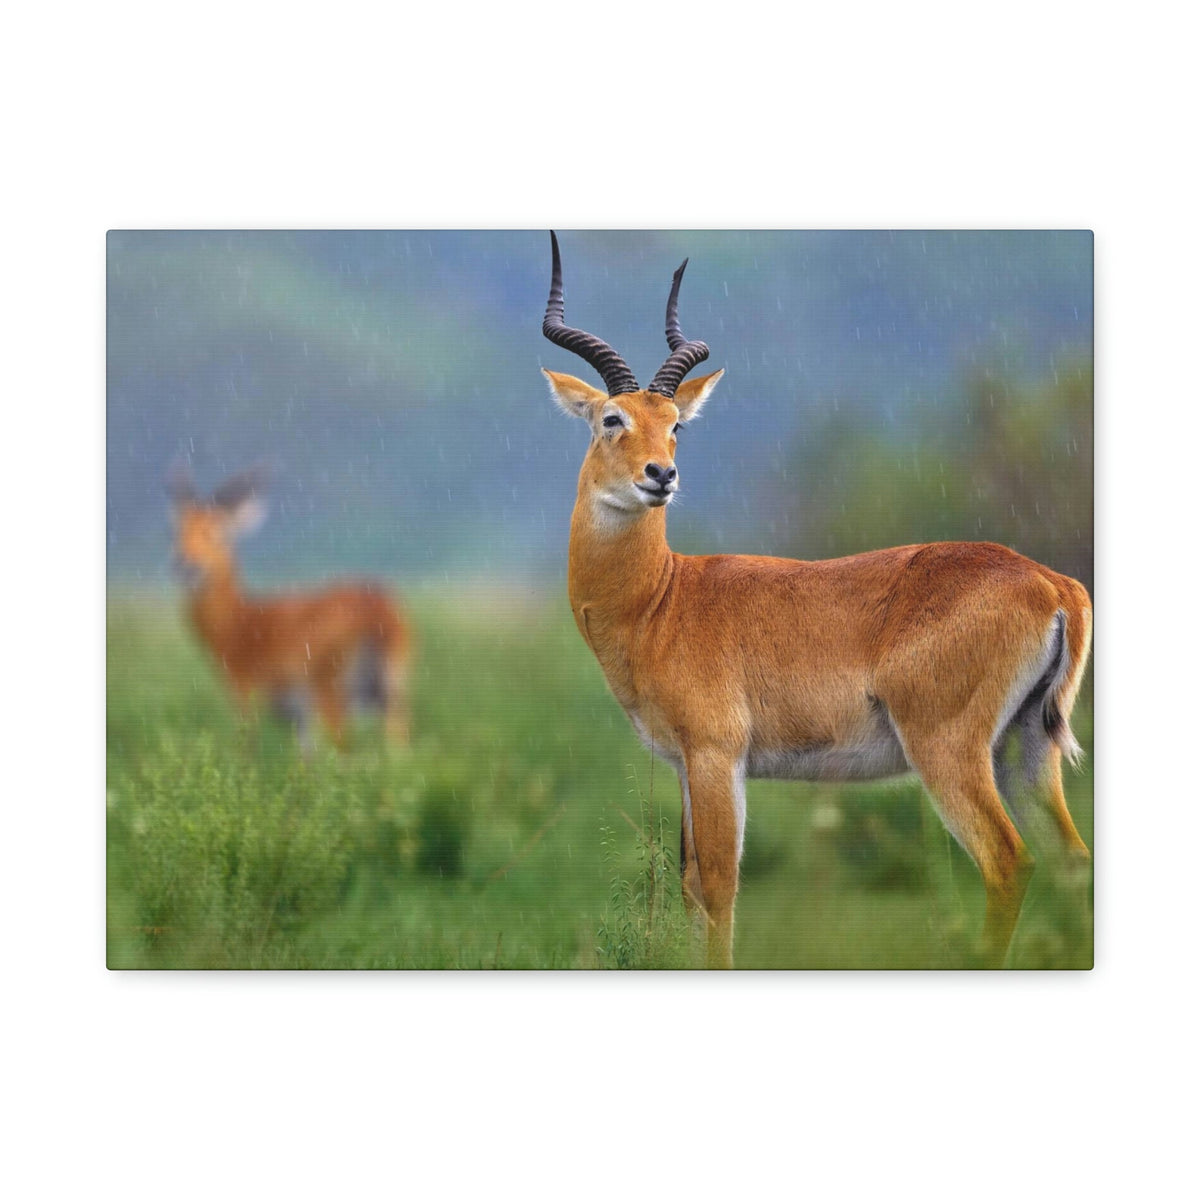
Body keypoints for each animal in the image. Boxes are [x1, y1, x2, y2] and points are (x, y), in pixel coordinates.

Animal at [169, 464, 413, 750]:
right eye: (177, 532)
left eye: (216, 532)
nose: (185, 564)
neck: (239, 622)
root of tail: (377, 609)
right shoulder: (301, 719)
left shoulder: (244, 693)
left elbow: (247, 748)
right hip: (391, 689)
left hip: (332, 692)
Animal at [541, 232, 1092, 968]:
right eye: (612, 417)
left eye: (676, 424)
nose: (661, 475)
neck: (661, 599)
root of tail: (1053, 584)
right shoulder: (686, 763)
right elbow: (690, 885)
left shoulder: (716, 755)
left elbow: (718, 886)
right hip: (1025, 747)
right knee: (1073, 860)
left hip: (948, 749)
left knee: (1009, 861)